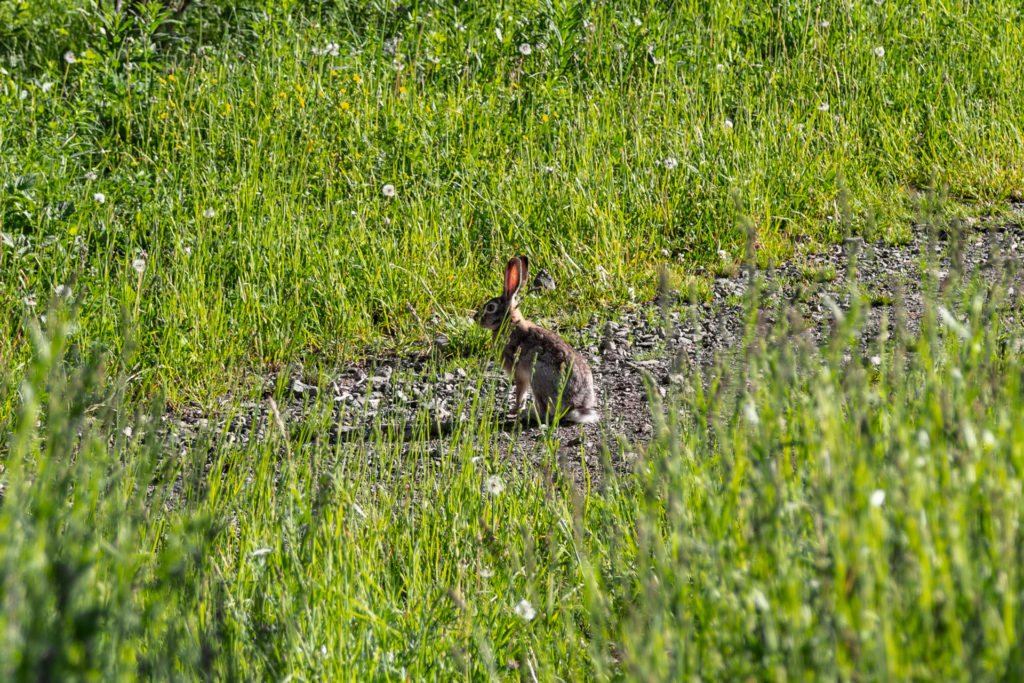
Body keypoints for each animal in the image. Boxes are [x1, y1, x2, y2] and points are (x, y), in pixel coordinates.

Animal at [475, 255, 602, 423]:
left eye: (490, 307)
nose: (475, 317)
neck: (509, 322)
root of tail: (574, 406)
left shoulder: (519, 373)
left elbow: (520, 392)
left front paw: (514, 409)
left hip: (538, 376)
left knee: (546, 412)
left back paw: (528, 414)